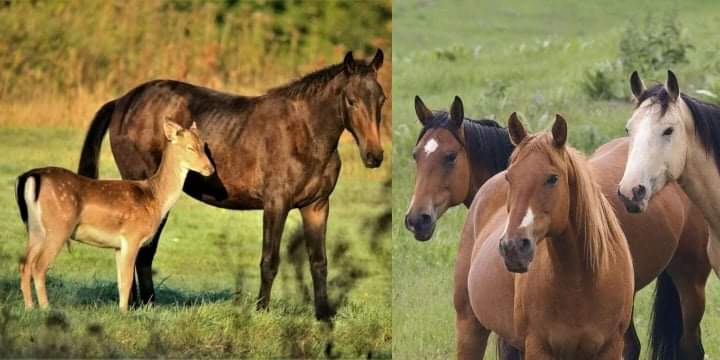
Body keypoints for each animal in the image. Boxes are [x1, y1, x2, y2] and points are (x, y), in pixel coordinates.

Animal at [15, 119, 212, 310]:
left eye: (204, 145)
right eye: (190, 147)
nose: (210, 169)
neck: (155, 199)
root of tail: (30, 177)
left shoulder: (118, 246)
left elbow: (120, 281)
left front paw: (121, 309)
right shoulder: (132, 237)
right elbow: (127, 281)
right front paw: (124, 312)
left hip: (35, 228)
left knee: (25, 263)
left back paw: (29, 307)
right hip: (58, 226)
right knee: (39, 266)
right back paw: (45, 308)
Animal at [76, 48, 386, 320]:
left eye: (381, 99)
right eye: (351, 100)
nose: (374, 156)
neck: (304, 134)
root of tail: (122, 101)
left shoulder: (317, 206)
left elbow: (319, 262)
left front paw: (323, 316)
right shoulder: (276, 204)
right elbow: (269, 261)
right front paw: (262, 312)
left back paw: (146, 305)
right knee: (139, 251)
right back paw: (139, 305)